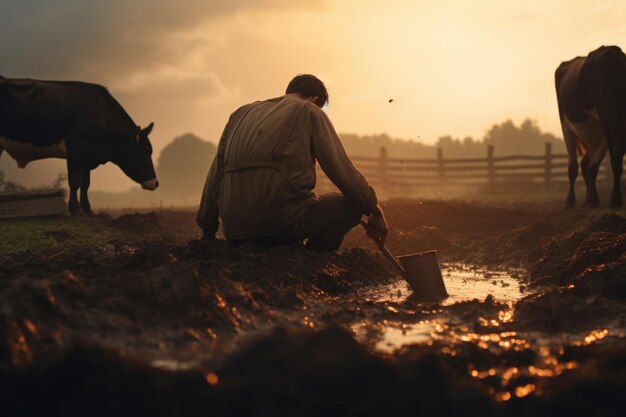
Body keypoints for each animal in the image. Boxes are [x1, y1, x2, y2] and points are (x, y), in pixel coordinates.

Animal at [1, 76, 157, 216]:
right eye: (146, 150)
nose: (156, 183)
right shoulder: (76, 147)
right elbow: (75, 180)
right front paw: (75, 210)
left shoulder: (87, 155)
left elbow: (85, 183)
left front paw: (88, 210)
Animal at [552, 45, 620, 208]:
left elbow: (594, 167)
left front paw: (597, 199)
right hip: (567, 127)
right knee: (573, 167)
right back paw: (571, 201)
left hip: (592, 137)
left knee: (585, 164)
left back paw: (589, 198)